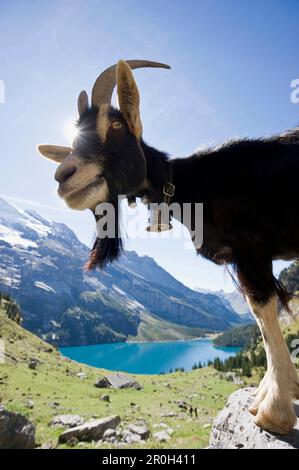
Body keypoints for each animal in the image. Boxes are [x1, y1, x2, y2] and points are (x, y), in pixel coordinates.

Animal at [37, 60, 299, 436]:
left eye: (115, 124)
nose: (64, 176)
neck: (194, 185)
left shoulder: (250, 248)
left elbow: (261, 310)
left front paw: (273, 410)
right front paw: (274, 392)